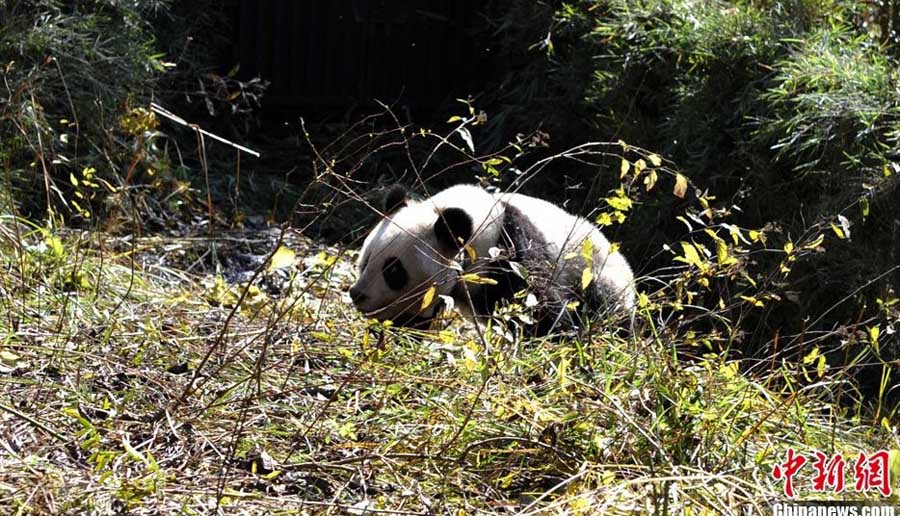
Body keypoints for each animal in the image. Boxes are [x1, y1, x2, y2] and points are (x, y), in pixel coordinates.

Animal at [348, 183, 636, 336]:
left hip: (597, 276)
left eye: (393, 271)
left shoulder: (510, 248)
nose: (356, 294)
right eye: (366, 259)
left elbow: (538, 305)